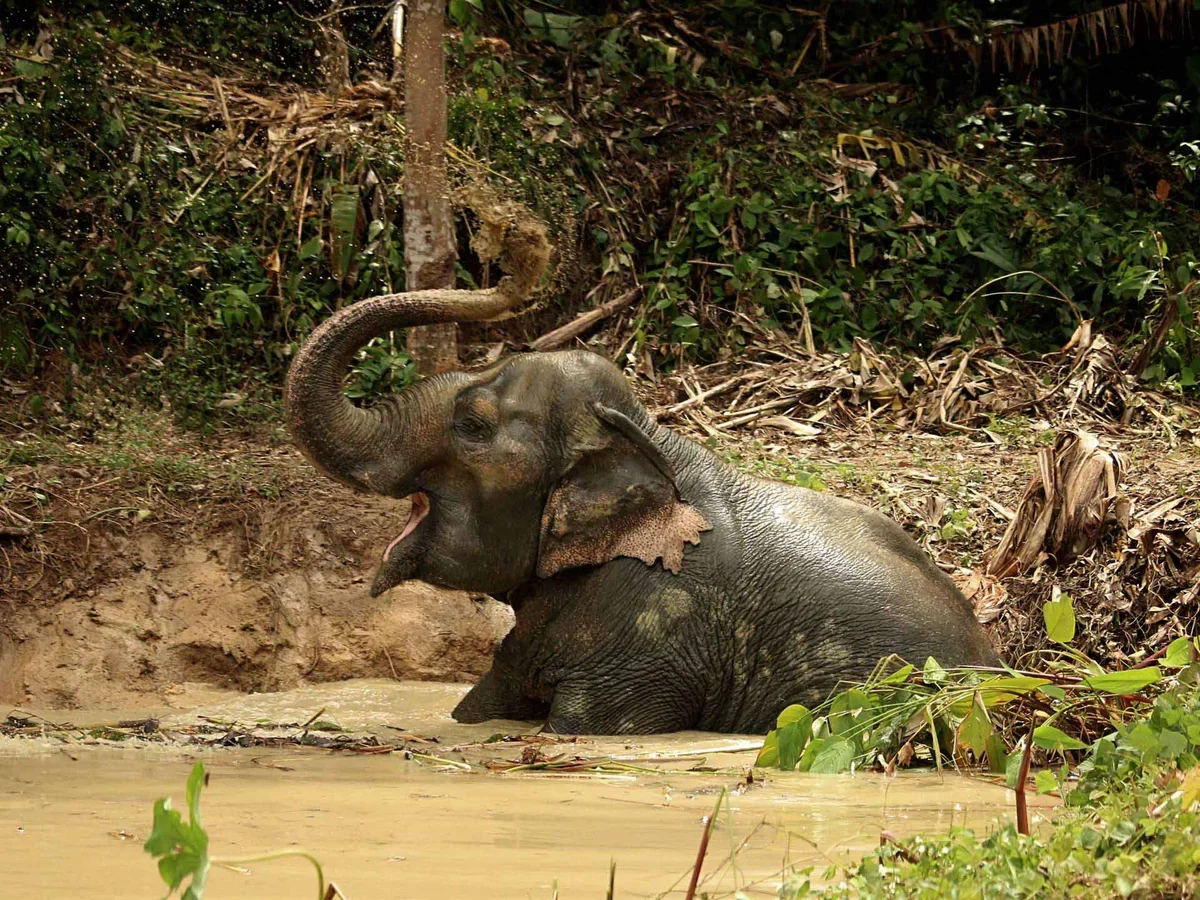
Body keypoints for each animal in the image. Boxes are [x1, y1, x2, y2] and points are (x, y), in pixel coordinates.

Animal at [284, 222, 1000, 735]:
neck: (647, 435)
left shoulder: (653, 635)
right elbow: (480, 707)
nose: (515, 252)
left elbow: (582, 727)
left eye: (472, 425)